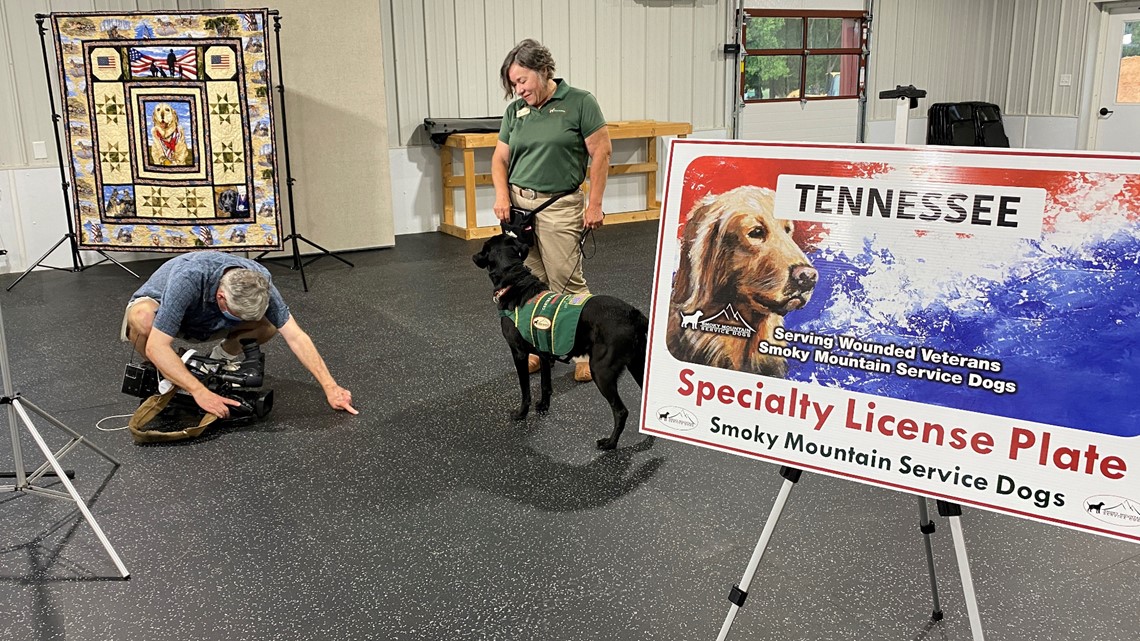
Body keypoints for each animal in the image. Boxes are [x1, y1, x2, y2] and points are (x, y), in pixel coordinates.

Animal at [474, 231, 652, 447]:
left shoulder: (519, 353)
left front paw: (521, 413)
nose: (474, 256)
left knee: (621, 411)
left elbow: (525, 389)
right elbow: (545, 384)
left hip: (601, 370)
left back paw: (610, 443)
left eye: (484, 247)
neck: (515, 280)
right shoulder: (543, 354)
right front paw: (543, 406)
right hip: (637, 364)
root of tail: (633, 314)